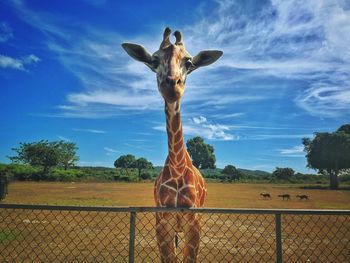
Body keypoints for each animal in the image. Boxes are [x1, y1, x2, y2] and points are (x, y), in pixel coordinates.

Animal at [121, 27, 223, 262]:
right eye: (154, 60)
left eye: (189, 62)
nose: (171, 86)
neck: (177, 169)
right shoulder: (163, 222)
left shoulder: (193, 223)